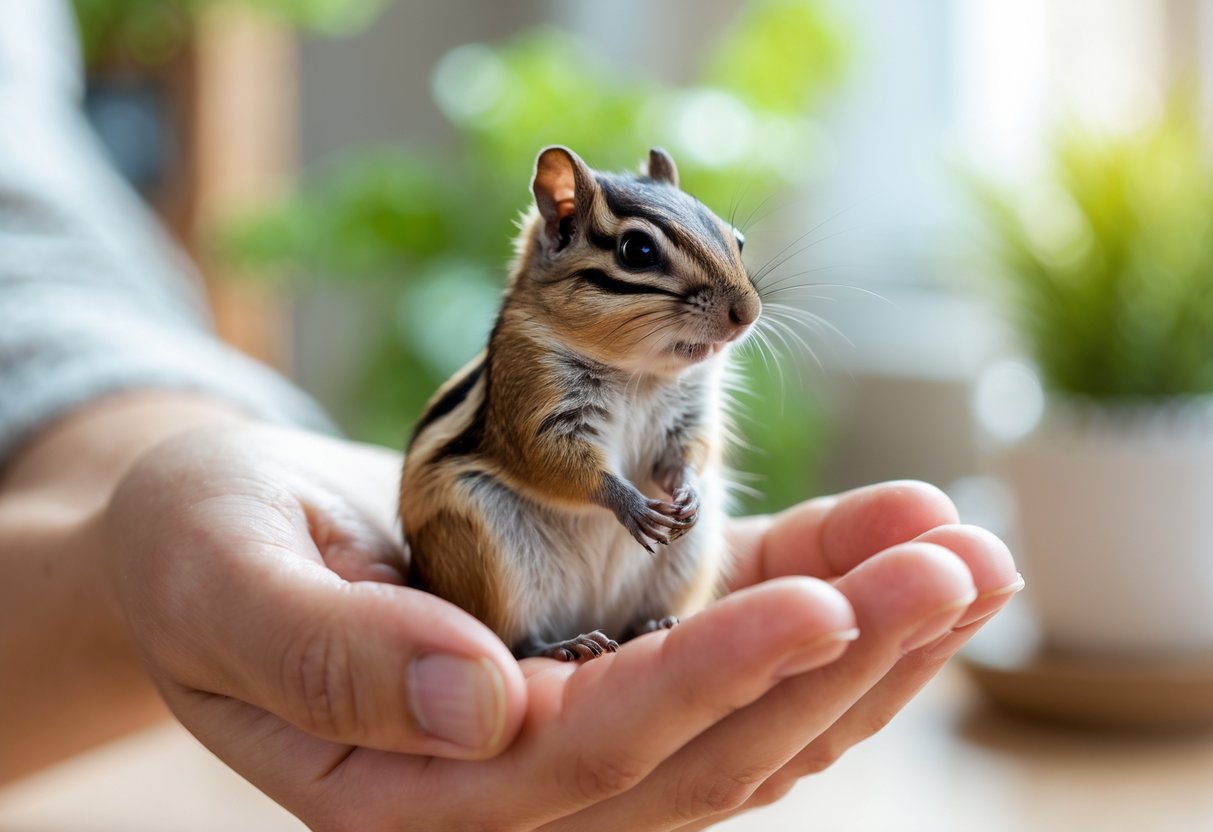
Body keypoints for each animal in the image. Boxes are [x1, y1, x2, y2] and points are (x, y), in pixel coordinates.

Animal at [400, 145, 760, 661]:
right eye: (638, 251)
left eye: (739, 241)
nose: (748, 314)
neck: (638, 373)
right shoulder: (536, 400)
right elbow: (556, 463)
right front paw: (629, 503)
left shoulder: (689, 415)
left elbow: (690, 453)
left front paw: (687, 492)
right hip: (489, 552)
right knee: (514, 638)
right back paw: (566, 644)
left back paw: (655, 622)